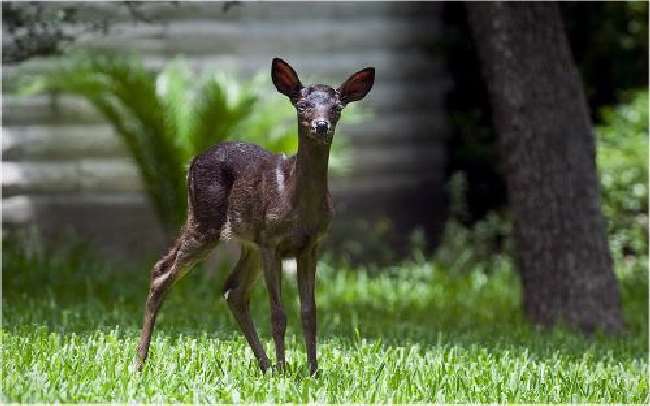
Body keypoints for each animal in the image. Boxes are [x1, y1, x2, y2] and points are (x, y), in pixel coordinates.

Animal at [134, 56, 372, 374]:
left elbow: (309, 312)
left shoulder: (310, 245)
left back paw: (265, 364)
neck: (297, 202)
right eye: (301, 105)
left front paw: (312, 371)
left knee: (233, 290)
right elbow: (278, 313)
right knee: (162, 272)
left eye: (337, 107)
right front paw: (286, 370)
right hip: (206, 220)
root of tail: (192, 161)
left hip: (249, 243)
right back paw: (139, 362)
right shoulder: (272, 240)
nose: (321, 126)